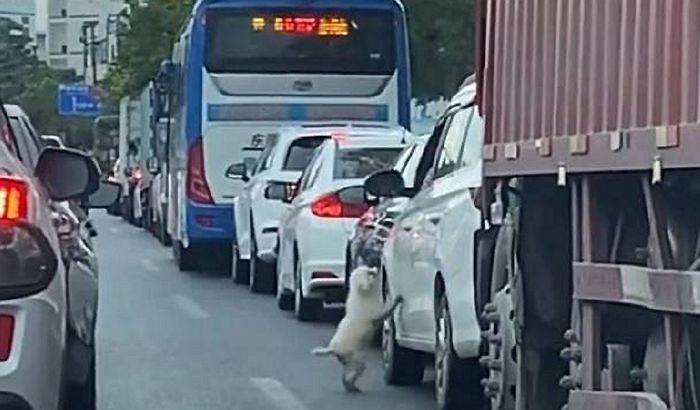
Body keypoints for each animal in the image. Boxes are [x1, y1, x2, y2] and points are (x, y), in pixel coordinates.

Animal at [314, 264, 404, 392]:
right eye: (370, 273)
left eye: (370, 269)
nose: (377, 267)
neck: (362, 294)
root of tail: (332, 348)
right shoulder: (376, 313)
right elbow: (387, 310)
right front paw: (396, 300)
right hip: (356, 360)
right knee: (353, 372)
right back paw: (352, 387)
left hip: (349, 361)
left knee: (345, 373)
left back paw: (351, 386)